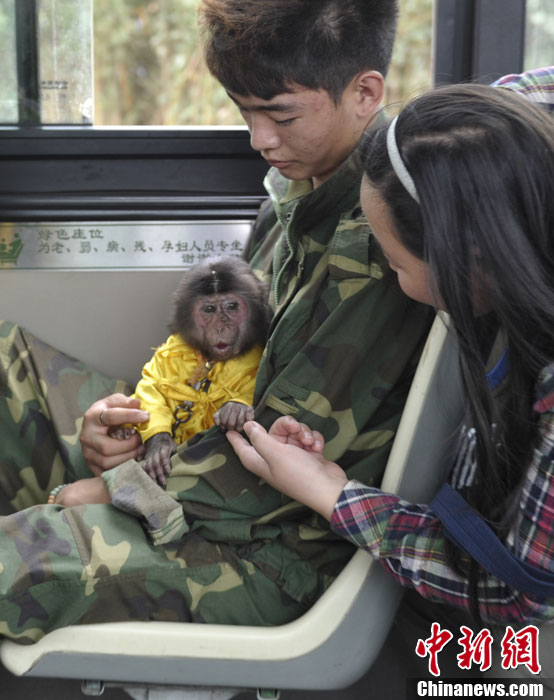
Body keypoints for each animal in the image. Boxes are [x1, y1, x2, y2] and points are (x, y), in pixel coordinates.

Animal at [111, 258, 268, 486]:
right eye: (209, 309)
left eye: (232, 306)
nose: (220, 327)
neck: (210, 360)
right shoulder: (173, 346)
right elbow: (152, 382)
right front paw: (159, 444)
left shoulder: (254, 354)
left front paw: (236, 407)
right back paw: (122, 431)